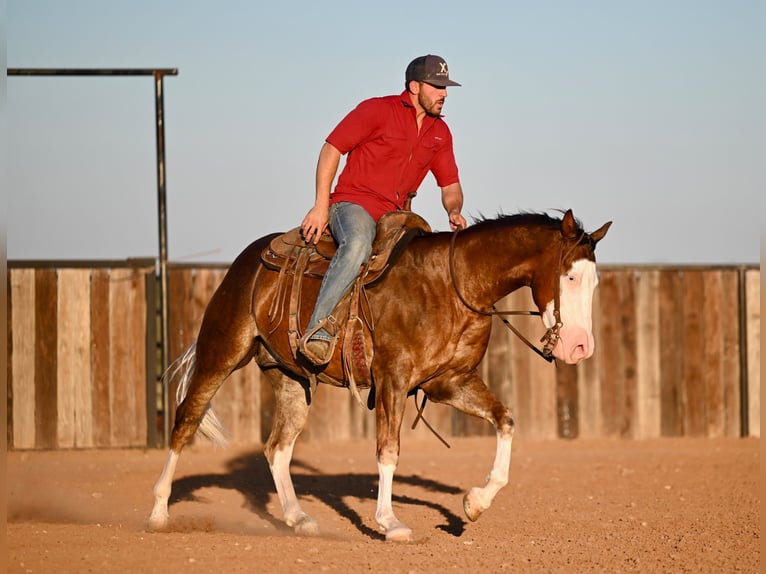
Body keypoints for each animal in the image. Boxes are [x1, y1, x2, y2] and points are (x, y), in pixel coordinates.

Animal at [148, 209, 612, 544]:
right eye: (570, 276)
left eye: (595, 283)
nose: (581, 347)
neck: (452, 285)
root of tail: (248, 261)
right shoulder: (393, 380)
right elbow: (388, 450)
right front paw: (391, 522)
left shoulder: (451, 383)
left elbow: (505, 420)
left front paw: (476, 502)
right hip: (221, 351)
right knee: (186, 420)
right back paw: (158, 513)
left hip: (290, 378)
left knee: (277, 447)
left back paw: (299, 519)